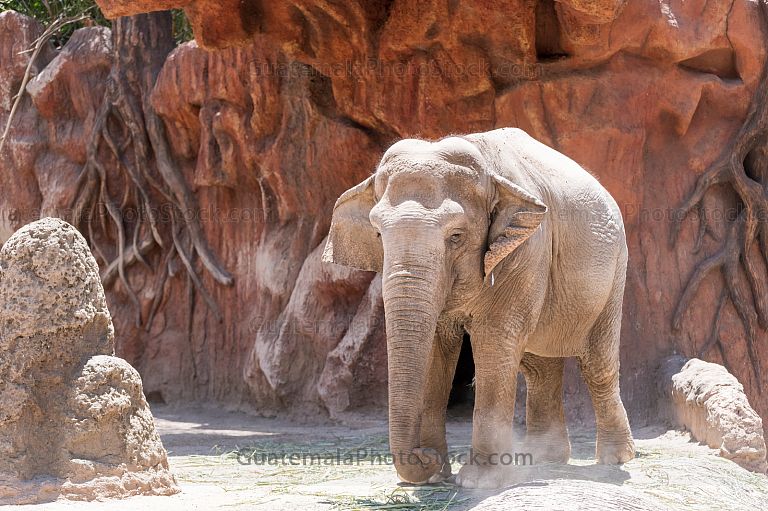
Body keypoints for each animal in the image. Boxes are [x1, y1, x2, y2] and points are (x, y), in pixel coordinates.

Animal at [322, 127, 635, 488]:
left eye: (456, 236)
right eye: (377, 233)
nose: (422, 456)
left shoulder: (526, 250)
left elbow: (494, 340)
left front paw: (478, 481)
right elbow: (435, 346)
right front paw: (435, 477)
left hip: (615, 270)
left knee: (596, 362)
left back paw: (614, 459)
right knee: (539, 367)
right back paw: (543, 458)